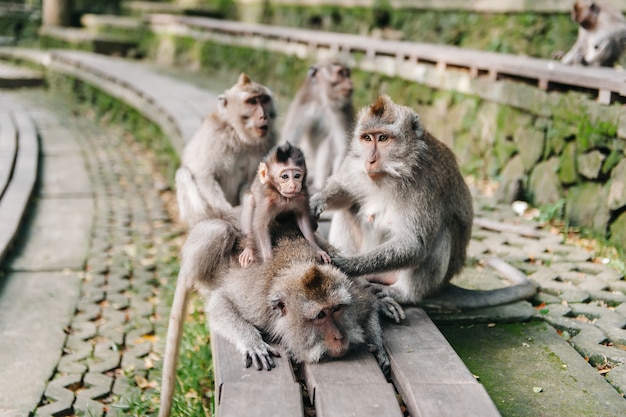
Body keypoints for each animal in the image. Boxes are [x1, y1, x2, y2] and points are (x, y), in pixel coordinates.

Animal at [156, 219, 400, 414]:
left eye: (337, 309)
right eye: (320, 315)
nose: (339, 337)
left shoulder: (350, 294)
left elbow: (367, 303)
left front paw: (378, 345)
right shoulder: (258, 305)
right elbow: (221, 302)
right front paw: (252, 343)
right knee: (220, 231)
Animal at [174, 72, 274, 228]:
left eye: (264, 100)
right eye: (252, 102)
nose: (264, 116)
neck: (240, 137)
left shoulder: (266, 144)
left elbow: (251, 182)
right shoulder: (214, 134)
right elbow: (204, 175)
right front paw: (228, 212)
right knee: (183, 173)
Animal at [280, 59, 354, 192]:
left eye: (347, 74)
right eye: (341, 73)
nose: (350, 82)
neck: (321, 100)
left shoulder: (341, 112)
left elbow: (343, 149)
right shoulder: (304, 104)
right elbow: (288, 139)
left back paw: (318, 186)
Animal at [310, 93, 532, 308]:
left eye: (383, 138)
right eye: (366, 138)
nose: (370, 160)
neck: (392, 175)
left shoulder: (427, 184)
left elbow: (415, 244)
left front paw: (346, 264)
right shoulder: (355, 163)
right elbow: (345, 191)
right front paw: (317, 200)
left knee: (443, 231)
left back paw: (405, 294)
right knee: (347, 209)